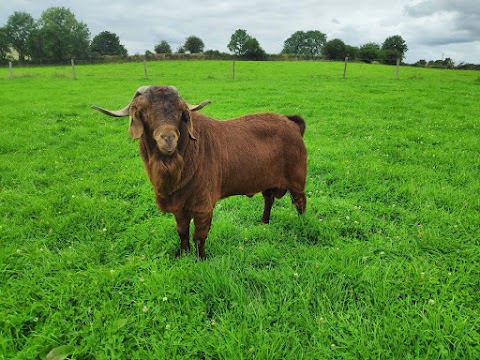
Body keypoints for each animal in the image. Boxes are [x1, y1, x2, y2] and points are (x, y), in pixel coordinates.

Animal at [91, 85, 308, 258]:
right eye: (143, 111)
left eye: (181, 112)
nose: (168, 138)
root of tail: (292, 123)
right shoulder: (179, 205)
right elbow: (182, 231)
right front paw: (182, 254)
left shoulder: (203, 204)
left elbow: (199, 235)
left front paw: (200, 259)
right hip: (268, 179)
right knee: (268, 198)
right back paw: (263, 222)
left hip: (297, 176)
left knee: (300, 202)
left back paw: (301, 224)